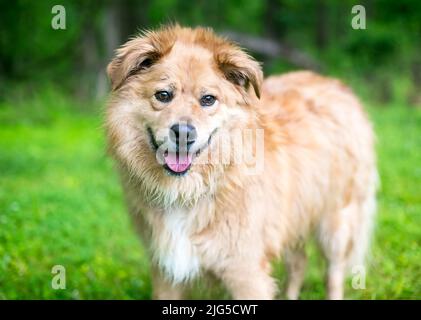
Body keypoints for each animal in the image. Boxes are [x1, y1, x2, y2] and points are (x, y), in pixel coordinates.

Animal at [106, 25, 378, 300]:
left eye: (208, 99)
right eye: (163, 95)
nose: (183, 133)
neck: (194, 189)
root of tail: (335, 84)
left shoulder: (246, 273)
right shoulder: (166, 270)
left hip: (335, 224)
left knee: (333, 273)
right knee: (298, 262)